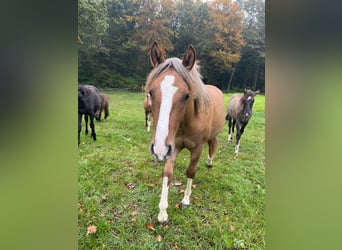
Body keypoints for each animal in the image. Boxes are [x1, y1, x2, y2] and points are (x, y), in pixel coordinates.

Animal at [146, 42, 226, 224]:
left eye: (186, 96)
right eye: (151, 92)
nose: (158, 149)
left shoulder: (197, 148)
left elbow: (190, 171)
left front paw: (185, 200)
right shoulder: (172, 147)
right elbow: (167, 173)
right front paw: (163, 212)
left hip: (212, 136)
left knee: (212, 145)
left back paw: (210, 162)